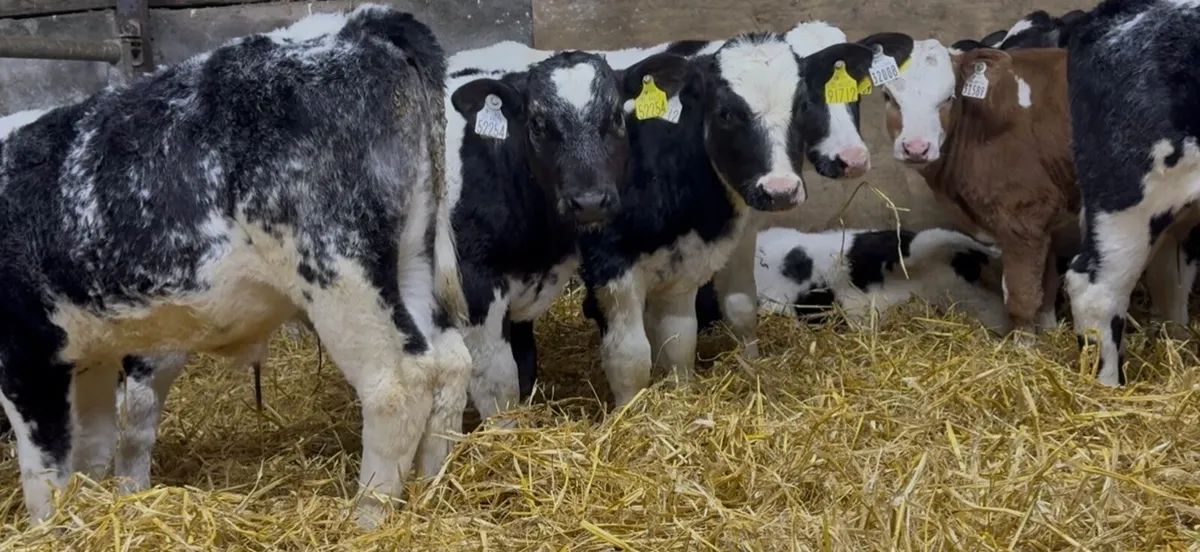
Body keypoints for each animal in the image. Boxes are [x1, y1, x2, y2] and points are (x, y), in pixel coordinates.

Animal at [0, 4, 471, 527]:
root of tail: (360, 25)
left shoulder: (24, 353)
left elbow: (44, 471)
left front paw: (48, 530)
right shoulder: (88, 352)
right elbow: (92, 446)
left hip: (339, 268)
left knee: (399, 382)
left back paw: (368, 518)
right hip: (413, 256)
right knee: (450, 363)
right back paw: (430, 489)